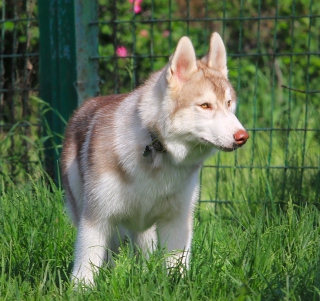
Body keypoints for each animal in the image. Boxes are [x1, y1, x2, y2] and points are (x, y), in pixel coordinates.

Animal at [61, 32, 249, 284]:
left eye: (229, 103)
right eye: (205, 105)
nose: (242, 136)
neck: (158, 149)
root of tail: (87, 104)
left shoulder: (177, 220)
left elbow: (177, 264)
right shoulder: (96, 219)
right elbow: (85, 267)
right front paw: (80, 289)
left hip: (144, 230)